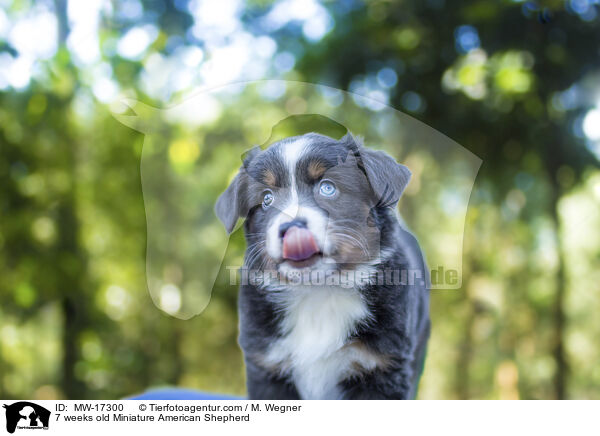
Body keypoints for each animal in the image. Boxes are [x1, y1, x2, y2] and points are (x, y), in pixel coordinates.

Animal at [218, 132, 428, 398]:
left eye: (327, 188)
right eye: (266, 198)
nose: (292, 228)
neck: (318, 291)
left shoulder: (382, 368)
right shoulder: (268, 367)